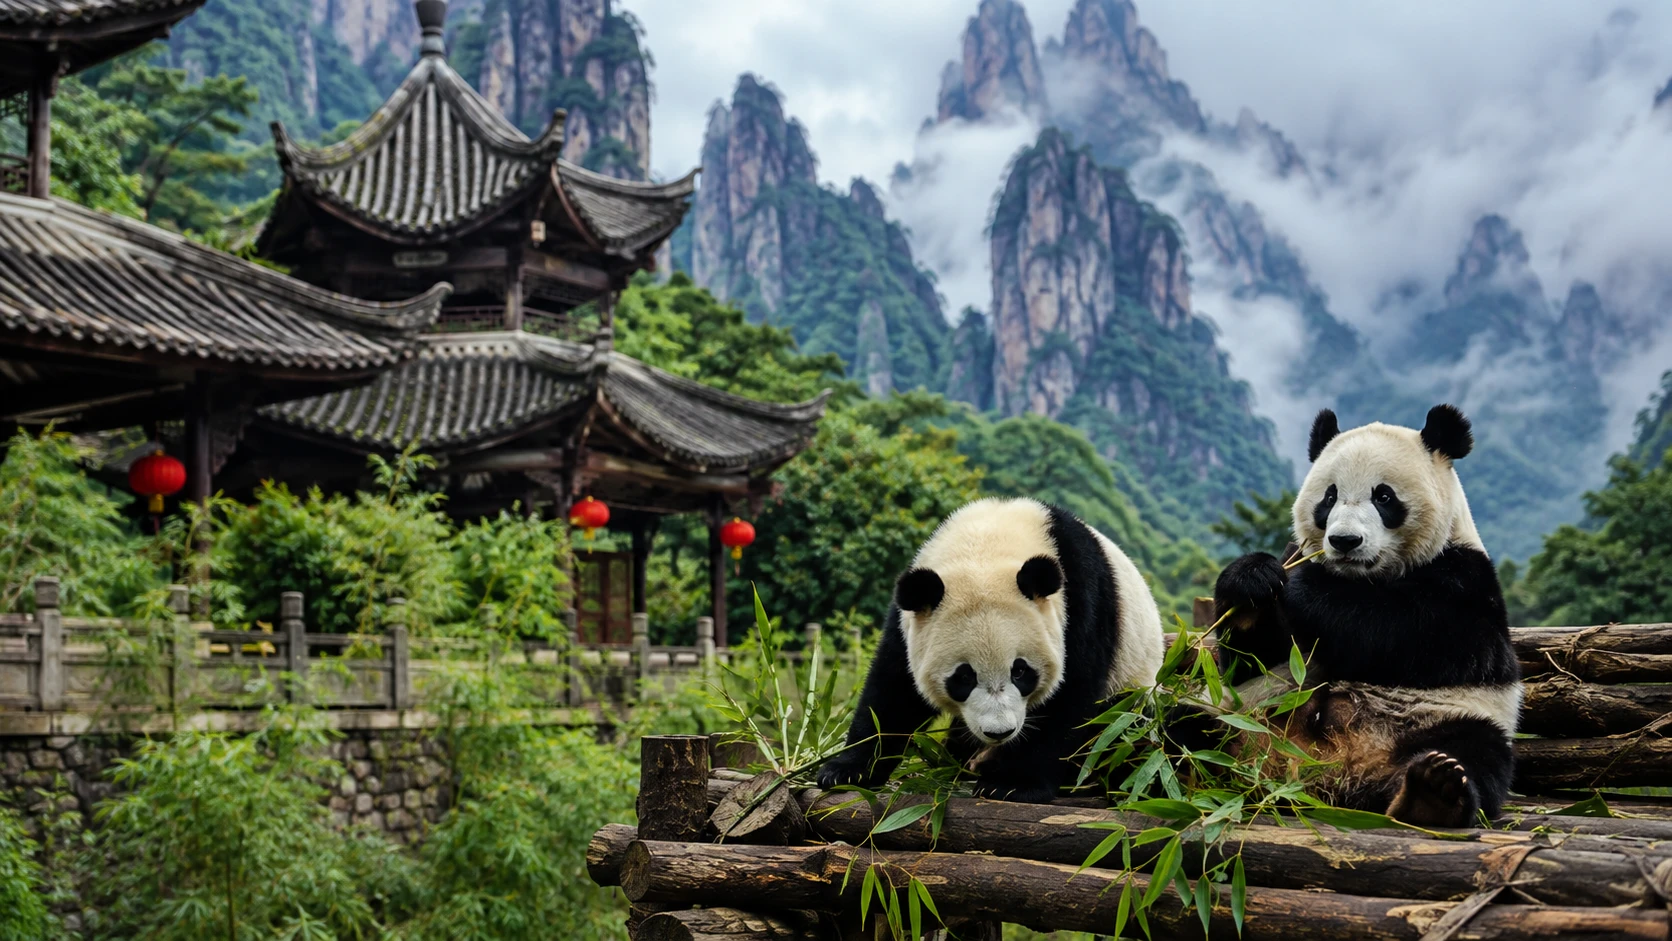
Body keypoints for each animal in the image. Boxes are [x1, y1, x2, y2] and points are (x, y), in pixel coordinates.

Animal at [817, 497, 1166, 804]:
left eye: (1021, 671)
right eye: (963, 677)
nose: (999, 732)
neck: (986, 544)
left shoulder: (1081, 604)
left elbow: (1070, 696)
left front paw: (1013, 784)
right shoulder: (910, 622)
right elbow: (892, 693)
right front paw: (846, 771)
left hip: (1135, 691)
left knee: (1119, 728)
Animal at [1210, 404, 1521, 827]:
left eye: (1384, 496)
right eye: (1329, 497)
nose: (1345, 541)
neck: (1363, 576)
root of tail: (1336, 773)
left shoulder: (1468, 580)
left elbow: (1415, 632)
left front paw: (1304, 582)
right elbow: (1257, 659)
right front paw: (1252, 580)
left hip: (1451, 718)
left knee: (1476, 754)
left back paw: (1432, 794)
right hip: (1248, 718)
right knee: (1184, 728)